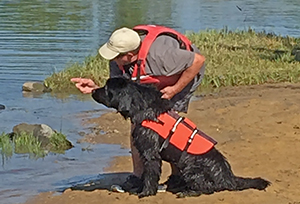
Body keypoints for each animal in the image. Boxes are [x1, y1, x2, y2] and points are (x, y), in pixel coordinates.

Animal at [91, 77, 270, 198]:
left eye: (106, 88)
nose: (92, 90)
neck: (144, 108)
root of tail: (228, 178)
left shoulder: (150, 153)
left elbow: (150, 175)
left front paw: (146, 192)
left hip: (189, 166)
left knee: (209, 188)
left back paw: (188, 192)